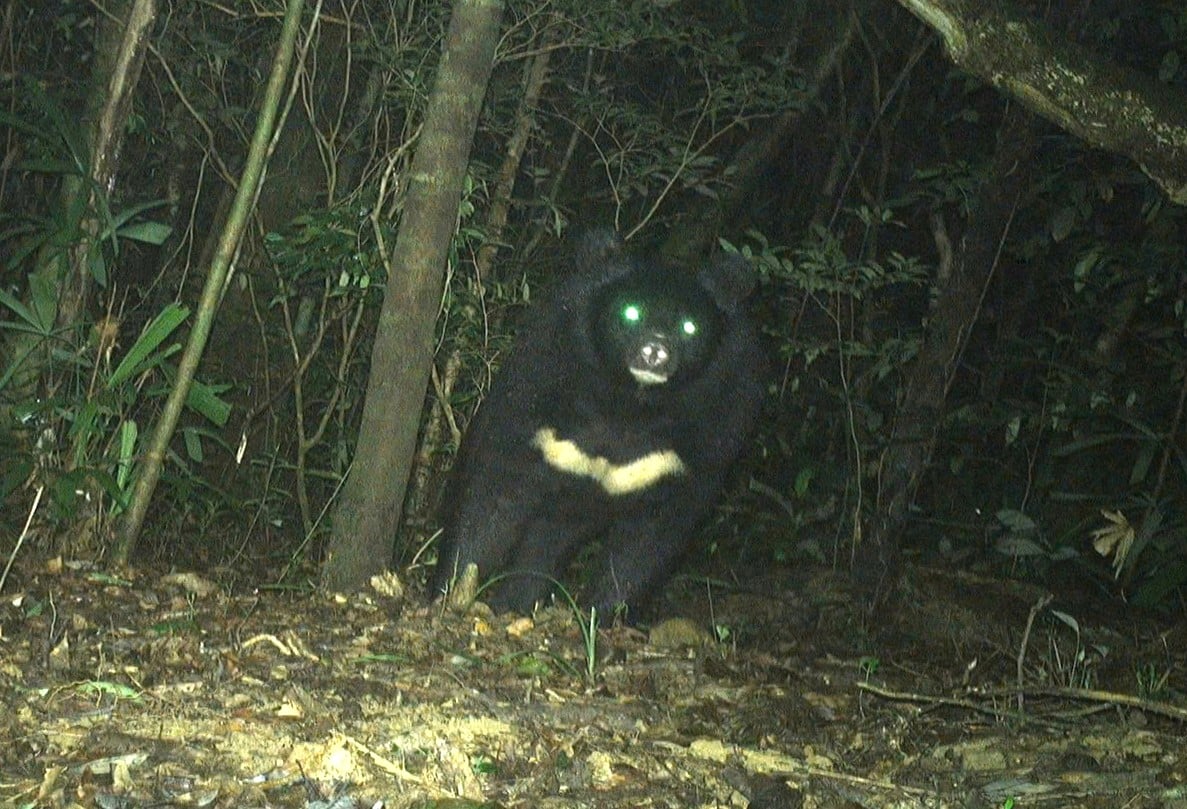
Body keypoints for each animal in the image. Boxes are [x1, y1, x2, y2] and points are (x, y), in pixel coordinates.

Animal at [432, 231, 764, 612]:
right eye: (630, 312)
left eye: (689, 326)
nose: (655, 350)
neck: (629, 403)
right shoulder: (538, 398)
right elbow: (492, 499)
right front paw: (450, 594)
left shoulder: (701, 442)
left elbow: (649, 540)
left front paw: (602, 612)